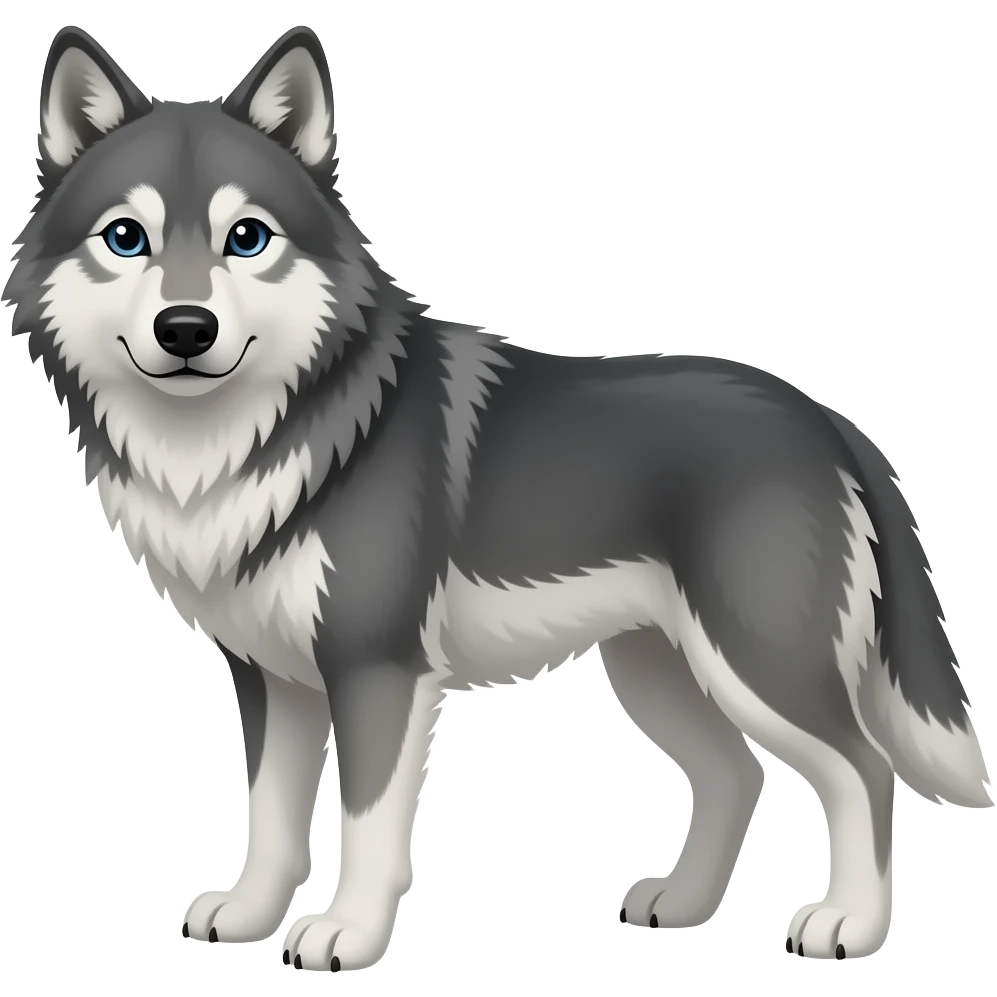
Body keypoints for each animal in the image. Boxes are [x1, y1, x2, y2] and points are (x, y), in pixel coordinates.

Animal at [4, 23, 992, 973]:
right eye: (125, 238)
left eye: (245, 238)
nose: (185, 328)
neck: (242, 442)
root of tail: (826, 418)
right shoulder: (271, 677)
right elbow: (272, 820)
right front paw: (249, 915)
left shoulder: (378, 670)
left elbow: (366, 825)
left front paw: (347, 935)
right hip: (654, 668)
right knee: (735, 774)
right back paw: (681, 904)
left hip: (754, 661)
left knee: (862, 769)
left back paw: (849, 925)